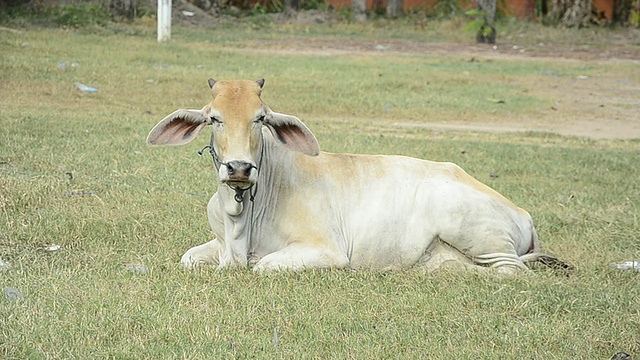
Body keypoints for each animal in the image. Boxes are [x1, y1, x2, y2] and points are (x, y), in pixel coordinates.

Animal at [148, 79, 572, 274]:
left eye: (261, 118)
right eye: (214, 118)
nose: (238, 168)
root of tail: (522, 213)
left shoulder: (325, 250)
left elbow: (264, 264)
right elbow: (188, 257)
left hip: (479, 236)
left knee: (510, 272)